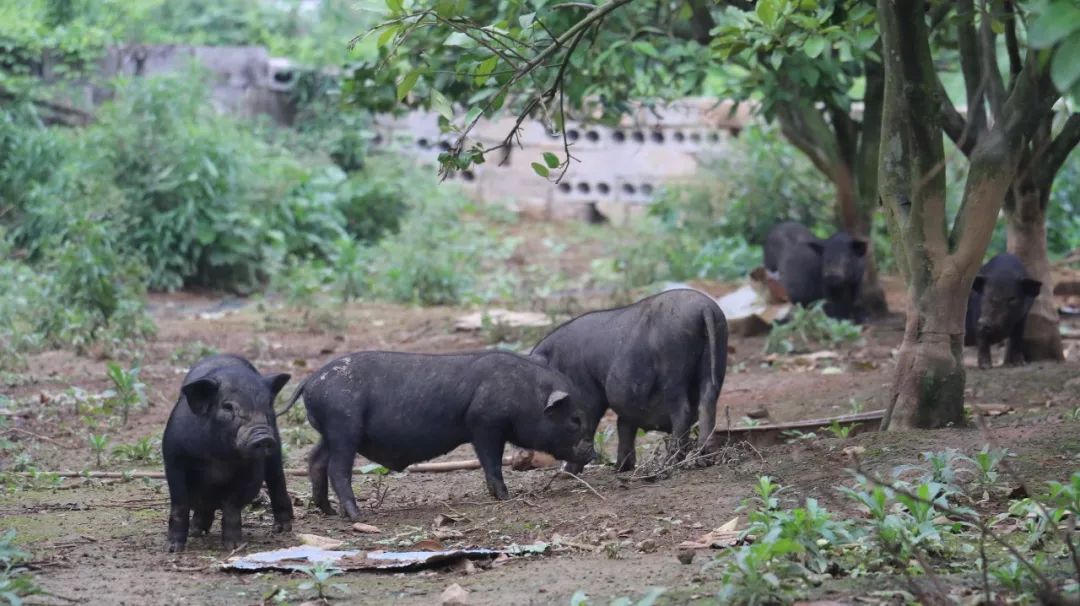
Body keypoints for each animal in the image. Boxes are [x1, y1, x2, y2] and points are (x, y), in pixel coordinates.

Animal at [159, 352, 291, 550]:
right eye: (228, 406)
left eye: (268, 404)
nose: (262, 436)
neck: (218, 456)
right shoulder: (174, 459)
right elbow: (179, 504)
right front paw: (173, 549)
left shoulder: (250, 470)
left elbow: (232, 506)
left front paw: (234, 546)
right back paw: (197, 531)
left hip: (275, 451)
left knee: (277, 479)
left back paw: (282, 529)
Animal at [282, 349, 596, 520]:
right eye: (575, 419)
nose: (593, 452)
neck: (527, 395)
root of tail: (310, 380)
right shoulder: (484, 424)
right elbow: (491, 462)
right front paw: (505, 497)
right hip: (343, 426)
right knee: (337, 468)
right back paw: (356, 515)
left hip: (329, 433)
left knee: (315, 460)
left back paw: (328, 511)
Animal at [524, 287, 721, 473]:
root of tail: (704, 308)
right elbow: (623, 427)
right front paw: (620, 468)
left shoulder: (587, 394)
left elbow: (591, 423)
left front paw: (568, 473)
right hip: (715, 361)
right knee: (707, 403)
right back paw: (705, 457)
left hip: (673, 369)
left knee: (683, 411)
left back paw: (670, 462)